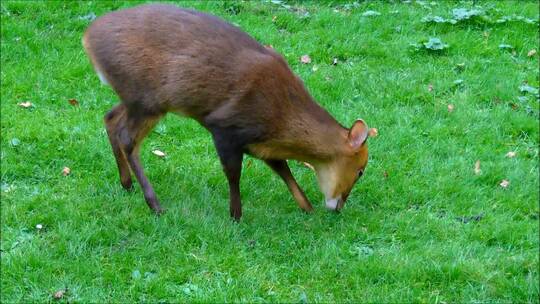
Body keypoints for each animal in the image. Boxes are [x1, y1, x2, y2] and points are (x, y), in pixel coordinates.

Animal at [83, 3, 372, 220]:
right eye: (360, 171)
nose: (338, 207)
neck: (283, 116)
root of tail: (87, 38)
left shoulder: (261, 144)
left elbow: (284, 170)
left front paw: (307, 209)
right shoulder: (225, 127)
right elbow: (234, 173)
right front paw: (236, 215)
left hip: (137, 99)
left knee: (110, 118)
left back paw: (127, 183)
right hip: (147, 100)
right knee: (128, 139)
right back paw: (154, 204)